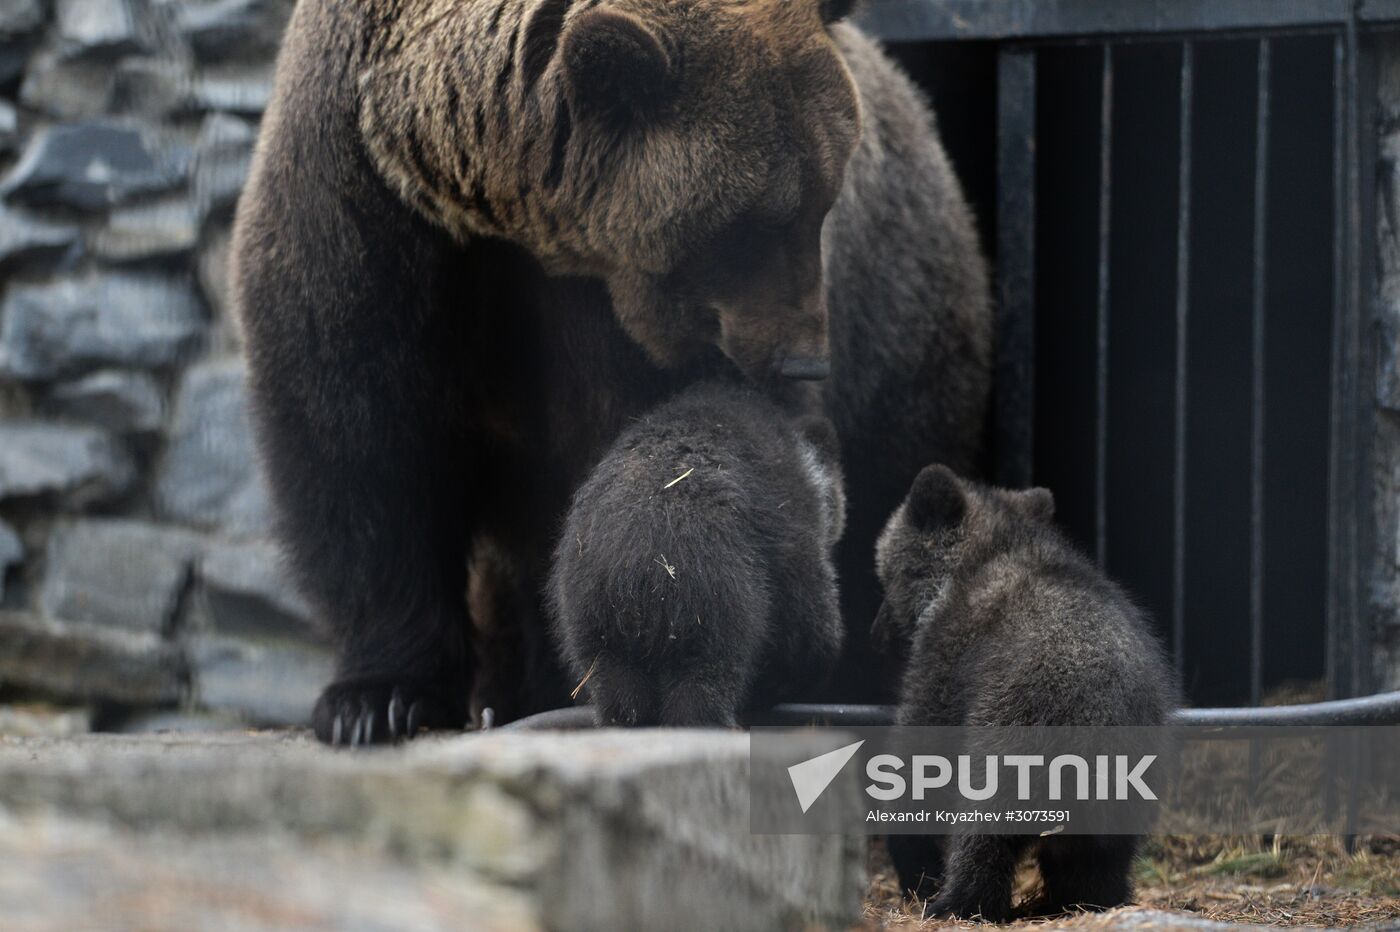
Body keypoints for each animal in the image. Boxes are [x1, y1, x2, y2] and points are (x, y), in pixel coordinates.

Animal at [232, 0, 996, 744]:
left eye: (825, 199)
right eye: (758, 219)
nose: (805, 359)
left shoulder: (622, 325)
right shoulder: (365, 213)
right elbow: (362, 448)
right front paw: (377, 699)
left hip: (906, 342)